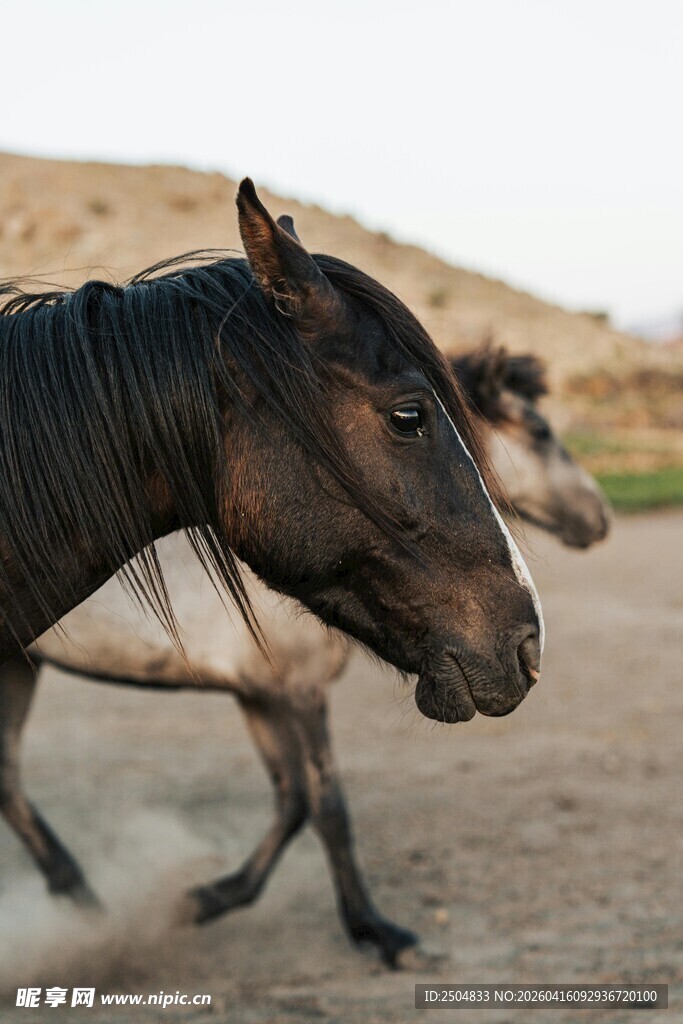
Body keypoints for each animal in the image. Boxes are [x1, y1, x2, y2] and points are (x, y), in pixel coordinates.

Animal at [0, 338, 581, 964]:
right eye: (541, 431)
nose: (597, 519)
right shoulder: (299, 690)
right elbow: (327, 806)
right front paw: (375, 930)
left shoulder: (261, 694)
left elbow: (293, 798)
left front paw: (206, 898)